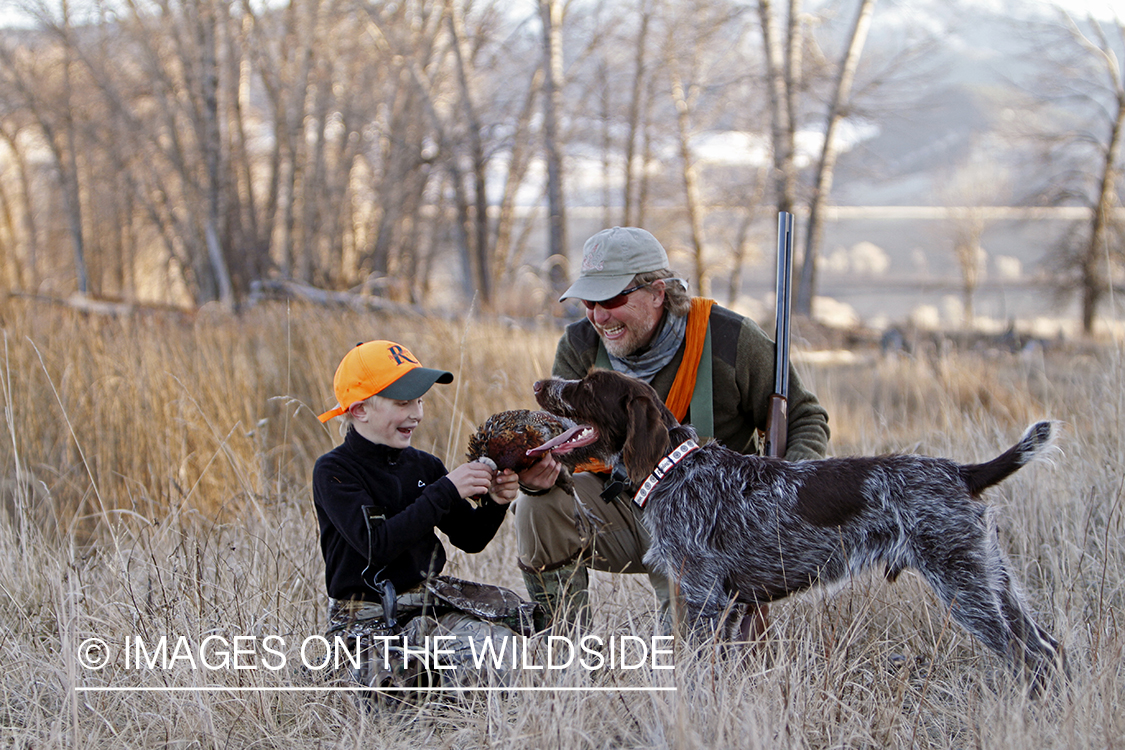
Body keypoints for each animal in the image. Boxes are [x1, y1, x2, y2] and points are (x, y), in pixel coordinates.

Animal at [531, 368, 1066, 692]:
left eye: (587, 385)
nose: (540, 383)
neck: (675, 468)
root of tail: (960, 472)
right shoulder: (724, 604)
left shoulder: (703, 598)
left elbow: (697, 664)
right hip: (993, 580)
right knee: (1047, 648)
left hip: (964, 585)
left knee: (1027, 657)